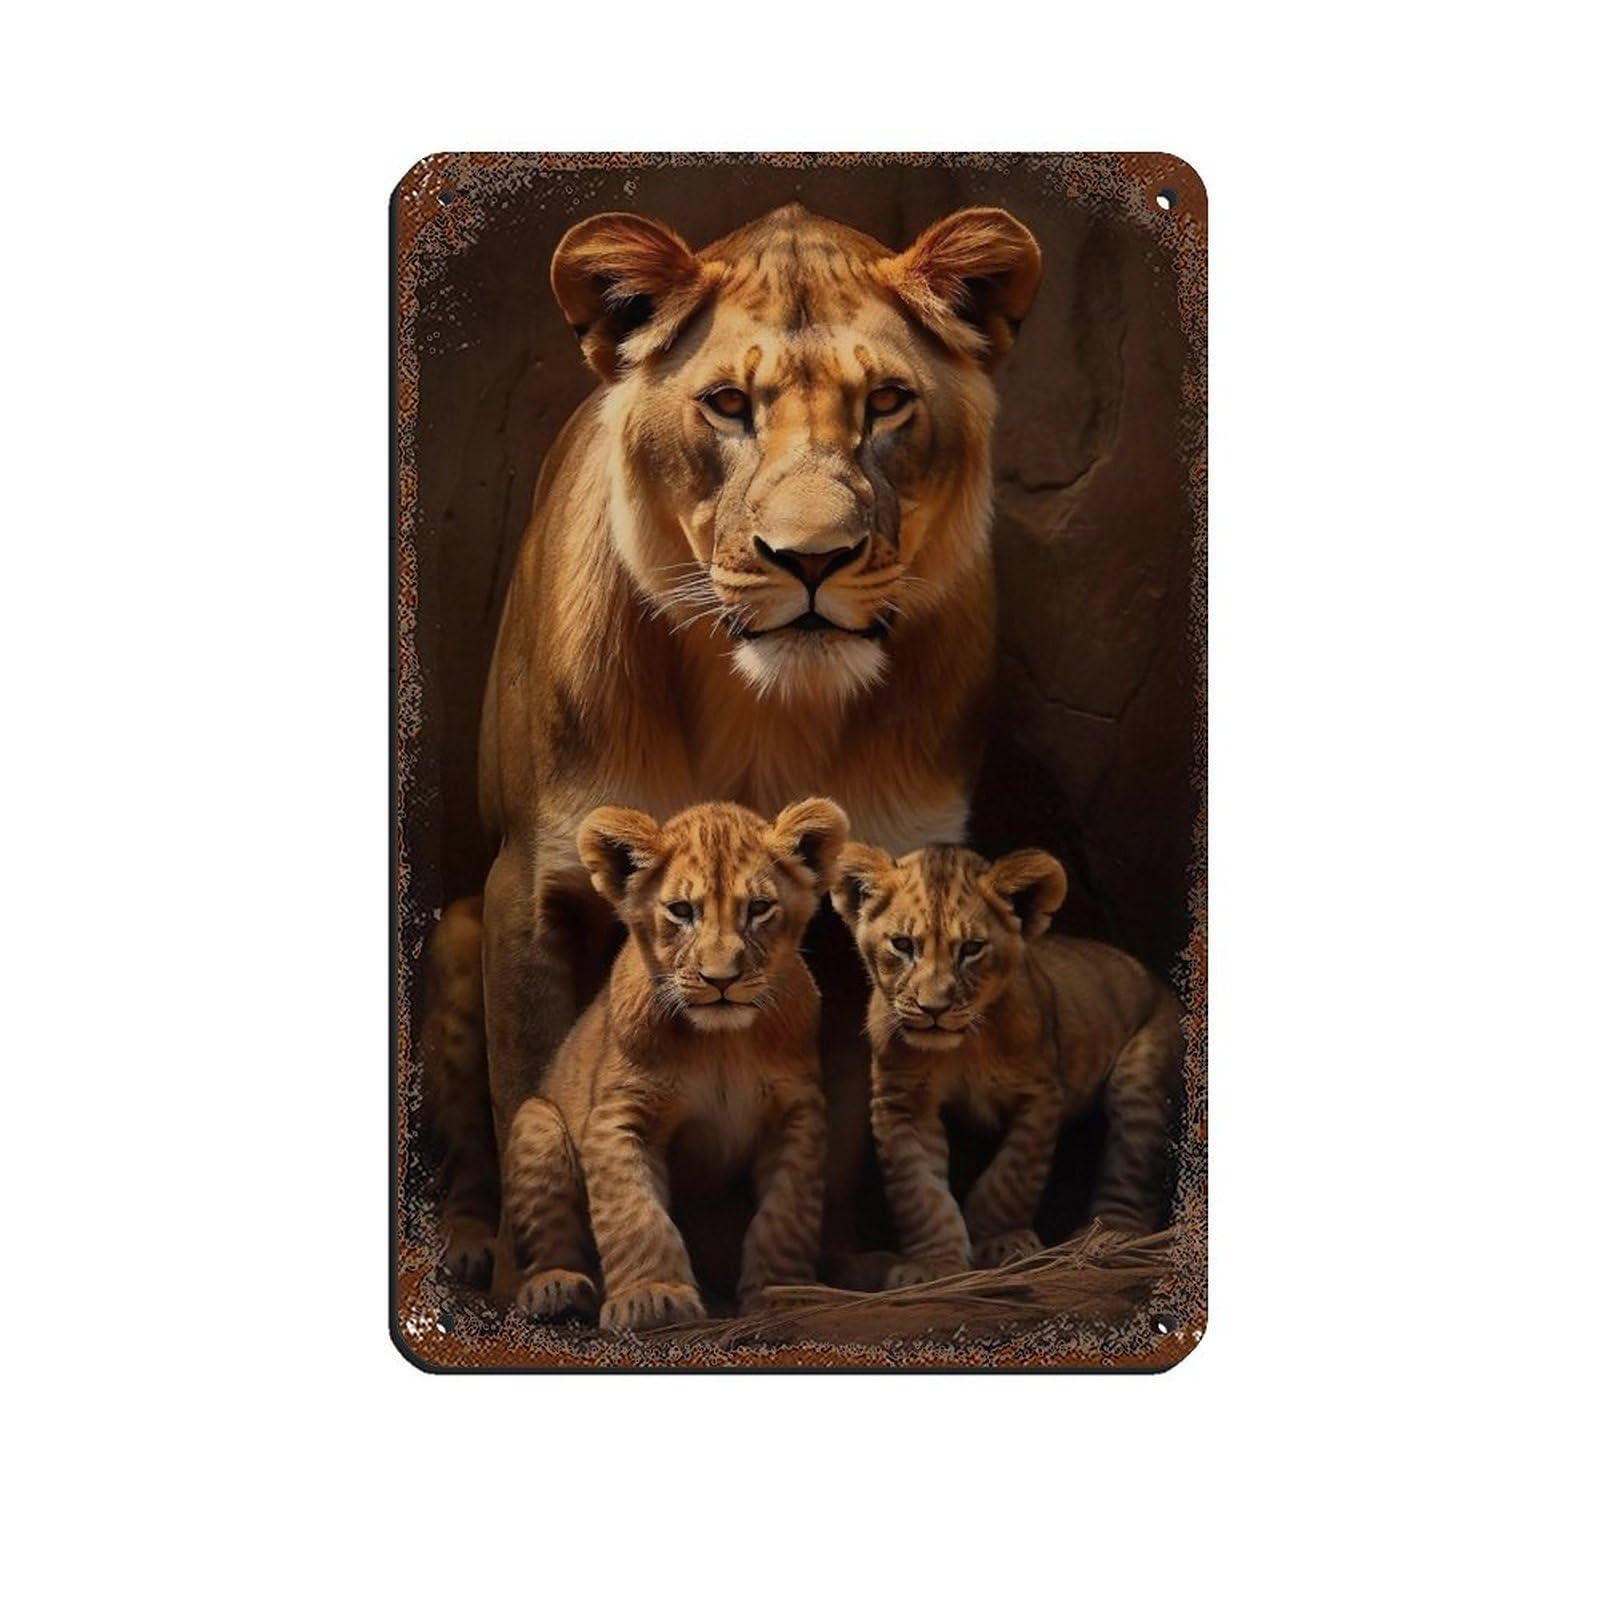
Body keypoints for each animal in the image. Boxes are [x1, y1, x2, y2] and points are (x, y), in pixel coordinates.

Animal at [501, 798, 847, 1332]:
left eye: (759, 908)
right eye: (682, 911)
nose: (720, 979)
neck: (722, 1043)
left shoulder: (797, 1114)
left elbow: (786, 1214)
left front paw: (785, 1292)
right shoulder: (620, 1116)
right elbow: (633, 1213)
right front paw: (651, 1295)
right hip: (536, 1122)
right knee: (550, 1231)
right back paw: (555, 1287)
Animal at [832, 842, 1181, 1285]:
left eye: (971, 949)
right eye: (903, 945)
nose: (934, 1009)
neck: (960, 1049)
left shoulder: (1040, 1094)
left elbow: (1010, 1179)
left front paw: (1000, 1243)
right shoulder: (901, 1101)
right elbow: (920, 1192)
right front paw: (934, 1265)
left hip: (1141, 1075)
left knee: (1133, 1163)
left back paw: (1106, 1236)